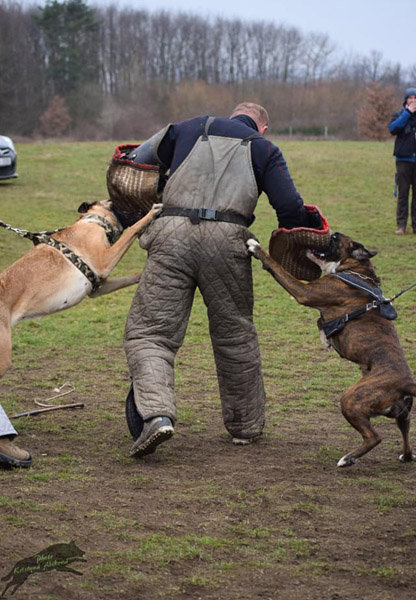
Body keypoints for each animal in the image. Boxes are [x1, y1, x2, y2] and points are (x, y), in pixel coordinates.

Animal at [0, 202, 161, 380]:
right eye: (116, 203)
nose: (138, 210)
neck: (93, 221)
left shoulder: (98, 287)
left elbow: (130, 277)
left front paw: (144, 273)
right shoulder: (104, 261)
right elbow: (132, 230)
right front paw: (151, 213)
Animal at [247, 232, 416, 466]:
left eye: (335, 238)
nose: (326, 234)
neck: (355, 269)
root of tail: (407, 384)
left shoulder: (305, 292)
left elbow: (278, 268)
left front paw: (256, 247)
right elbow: (320, 321)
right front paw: (325, 337)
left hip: (351, 400)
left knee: (374, 437)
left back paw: (347, 459)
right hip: (402, 415)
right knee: (406, 436)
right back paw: (404, 456)